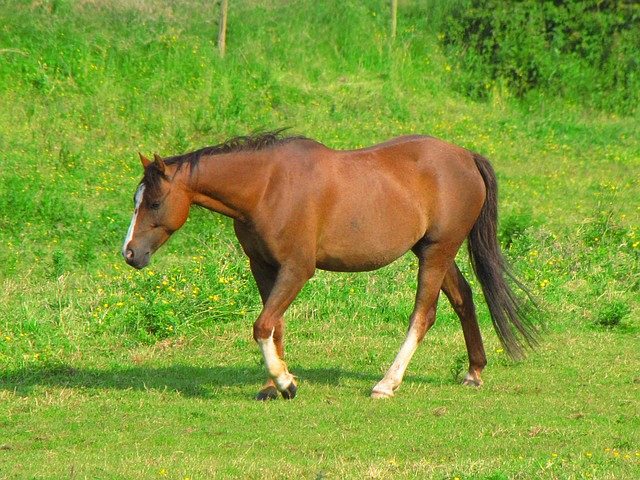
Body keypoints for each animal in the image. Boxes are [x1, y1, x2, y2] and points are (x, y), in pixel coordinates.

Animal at [120, 131, 536, 402]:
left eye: (154, 202)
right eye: (136, 200)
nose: (130, 253)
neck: (267, 187)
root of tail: (466, 156)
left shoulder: (297, 268)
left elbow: (262, 325)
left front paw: (285, 383)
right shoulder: (263, 267)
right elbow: (274, 324)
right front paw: (273, 385)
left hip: (437, 252)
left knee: (424, 314)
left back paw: (387, 384)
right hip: (432, 252)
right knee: (463, 298)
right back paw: (474, 371)